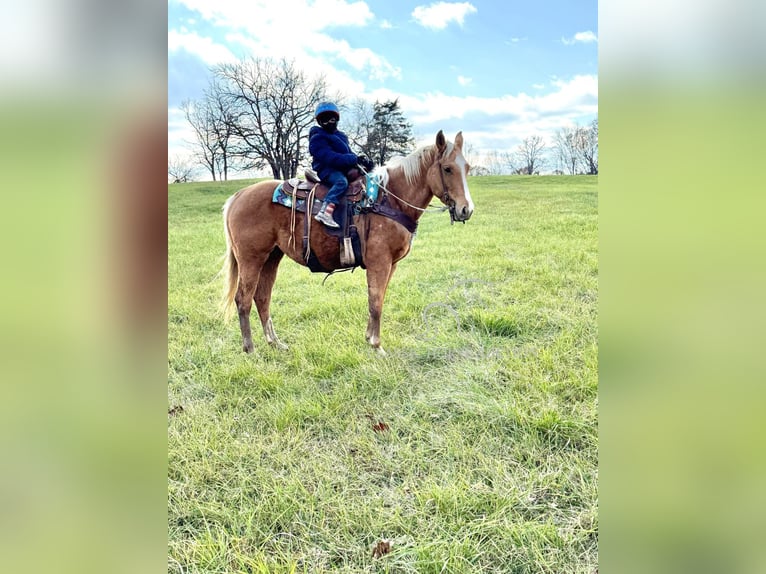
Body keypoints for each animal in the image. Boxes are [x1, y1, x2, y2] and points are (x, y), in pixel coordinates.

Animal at [220, 132, 474, 356]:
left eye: (468, 168)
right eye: (447, 168)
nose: (466, 209)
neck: (389, 200)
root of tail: (238, 196)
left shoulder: (391, 265)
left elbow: (378, 298)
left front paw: (369, 338)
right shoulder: (379, 263)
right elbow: (376, 302)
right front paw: (377, 346)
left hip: (271, 257)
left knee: (262, 297)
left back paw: (275, 342)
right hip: (251, 259)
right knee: (243, 300)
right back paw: (250, 349)